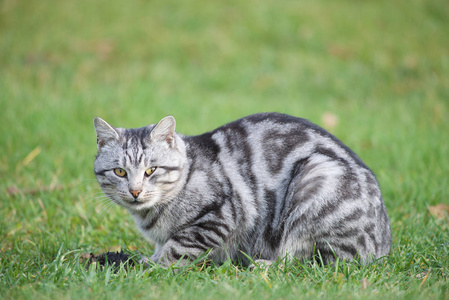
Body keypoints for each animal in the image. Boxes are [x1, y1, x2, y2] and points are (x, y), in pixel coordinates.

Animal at [93, 113, 390, 268]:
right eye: (120, 172)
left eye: (151, 170)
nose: (135, 191)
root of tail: (384, 246)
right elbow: (162, 246)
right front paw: (148, 258)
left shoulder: (219, 217)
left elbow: (176, 249)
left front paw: (153, 266)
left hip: (315, 184)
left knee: (312, 262)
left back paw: (262, 265)